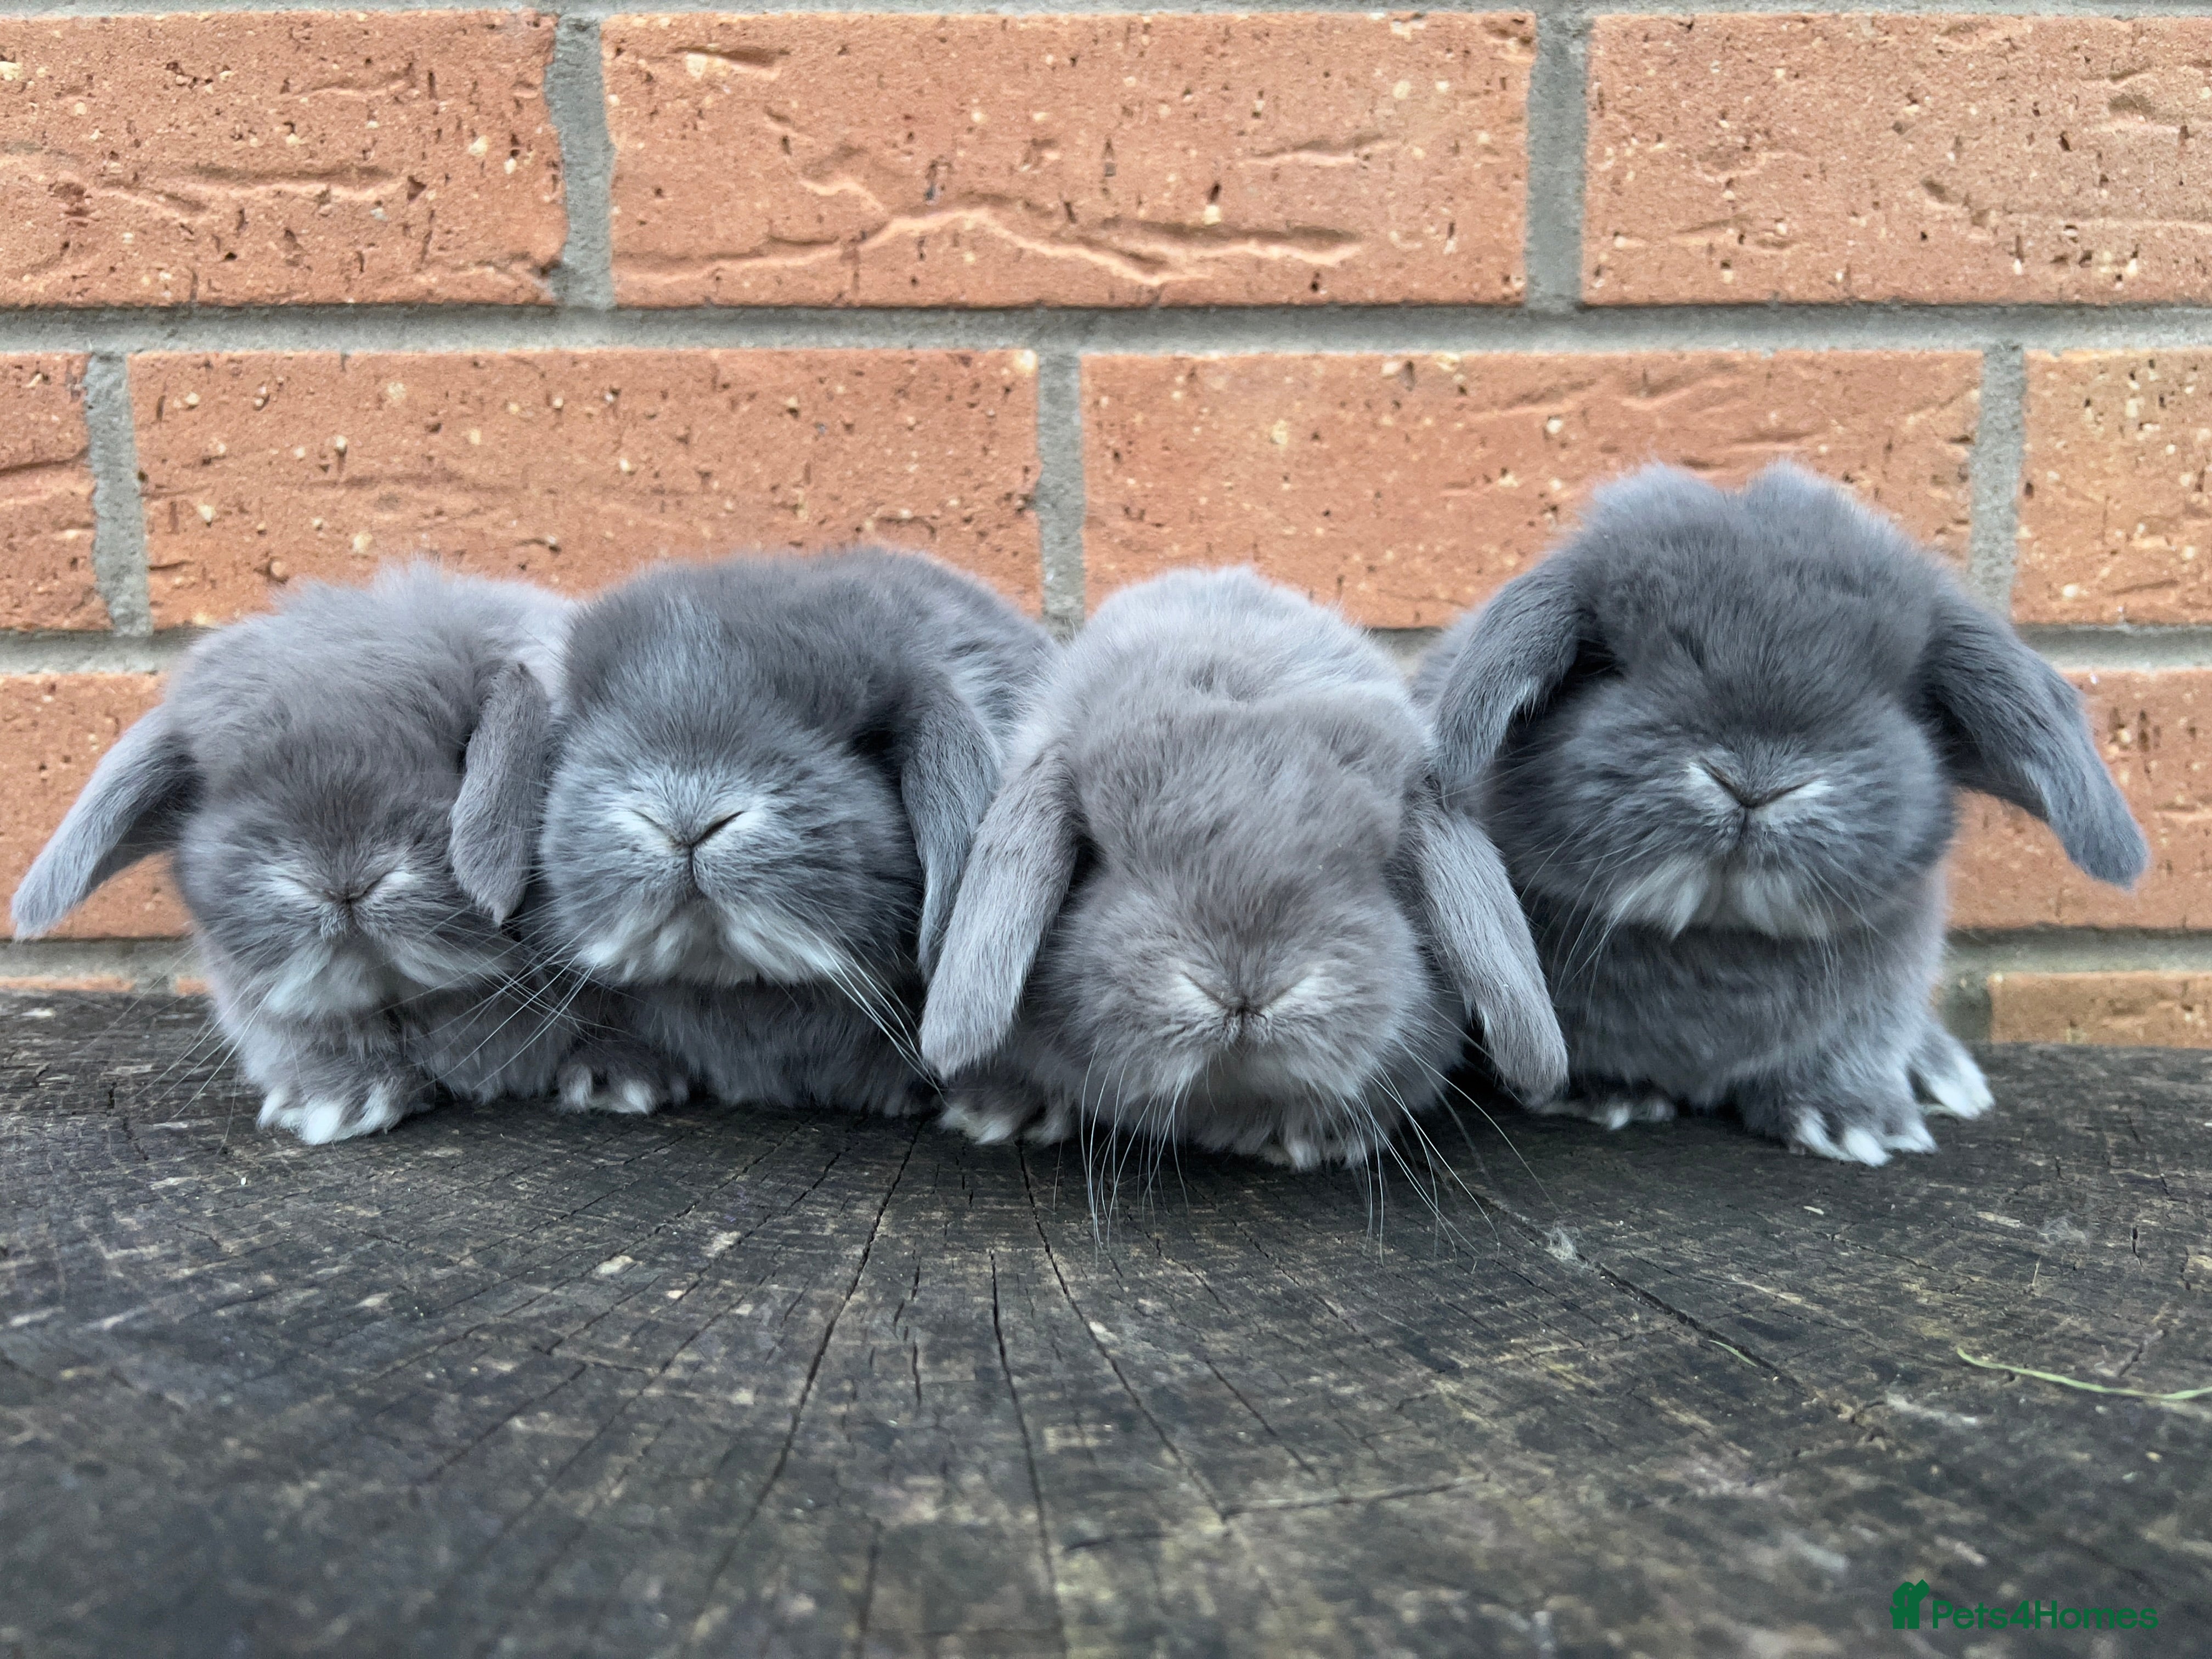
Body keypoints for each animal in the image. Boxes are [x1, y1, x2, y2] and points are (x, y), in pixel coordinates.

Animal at [1415, 462, 2148, 1165]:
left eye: (1900, 698)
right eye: (1605, 666)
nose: (1754, 782)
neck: (1716, 934)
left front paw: (1854, 1126)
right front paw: (1606, 1096)